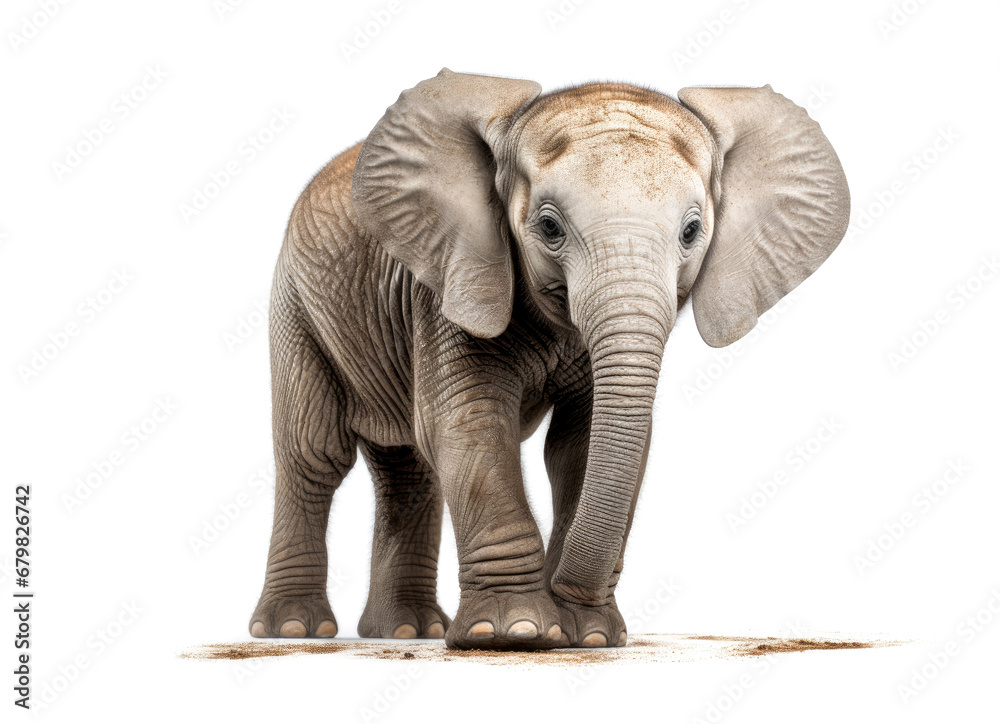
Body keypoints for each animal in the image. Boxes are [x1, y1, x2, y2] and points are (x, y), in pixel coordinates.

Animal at [248, 68, 850, 650]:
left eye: (691, 231)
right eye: (549, 227)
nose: (564, 592)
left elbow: (578, 446)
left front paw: (589, 635)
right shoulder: (455, 281)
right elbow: (470, 423)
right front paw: (513, 633)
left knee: (408, 472)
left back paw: (408, 631)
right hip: (295, 302)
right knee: (314, 453)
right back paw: (296, 628)